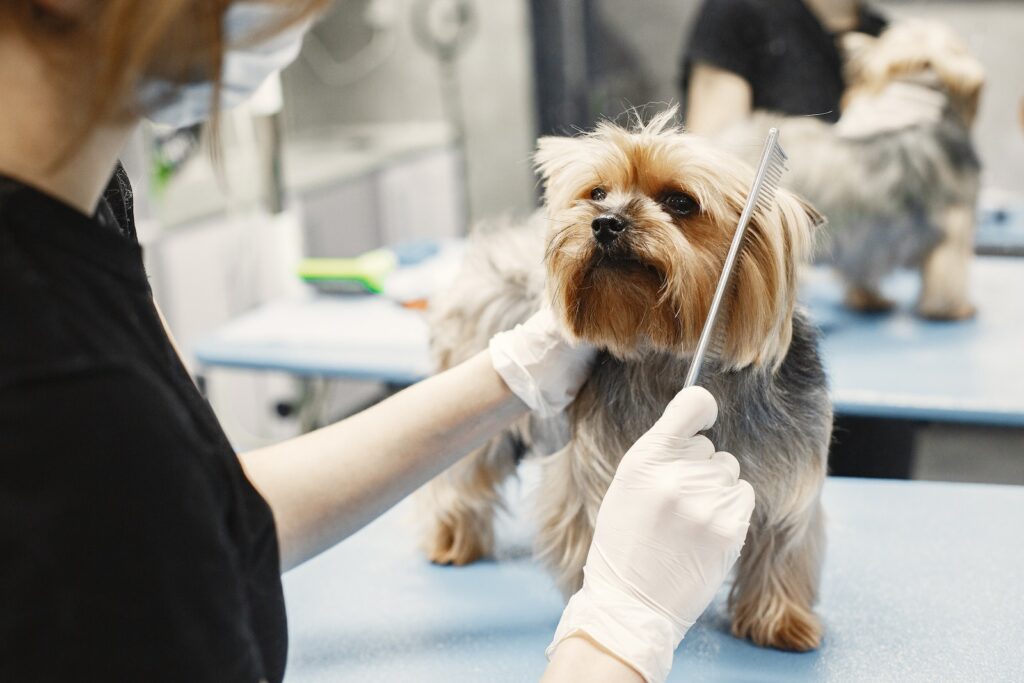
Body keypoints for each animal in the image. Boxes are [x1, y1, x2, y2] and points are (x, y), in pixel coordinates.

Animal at [421, 109, 831, 655]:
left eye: (681, 202)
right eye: (597, 192)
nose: (605, 221)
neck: (672, 355)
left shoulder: (791, 475)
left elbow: (785, 543)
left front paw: (780, 621)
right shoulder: (599, 465)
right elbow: (596, 525)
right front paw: (608, 595)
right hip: (474, 413)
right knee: (460, 476)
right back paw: (451, 540)